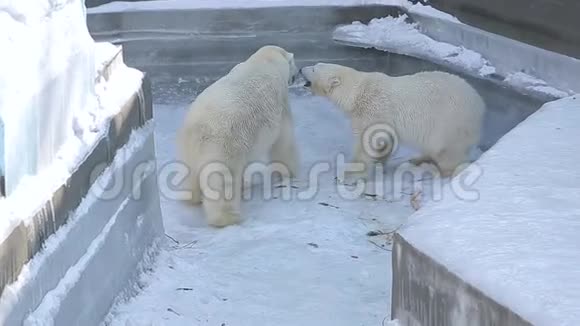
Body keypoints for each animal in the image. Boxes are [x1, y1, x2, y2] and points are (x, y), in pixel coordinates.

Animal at [177, 45, 300, 227]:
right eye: (294, 64)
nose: (297, 73)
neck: (266, 60)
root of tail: (198, 128)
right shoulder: (281, 101)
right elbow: (284, 140)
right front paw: (289, 173)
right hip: (224, 144)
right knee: (223, 180)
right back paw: (227, 217)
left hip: (188, 147)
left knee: (190, 172)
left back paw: (193, 198)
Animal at [300, 61, 484, 178]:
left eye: (314, 68)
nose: (302, 68)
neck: (357, 93)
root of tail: (479, 104)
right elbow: (385, 140)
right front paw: (380, 162)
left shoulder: (372, 111)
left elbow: (366, 142)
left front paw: (349, 173)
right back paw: (417, 159)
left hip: (450, 123)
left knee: (447, 152)